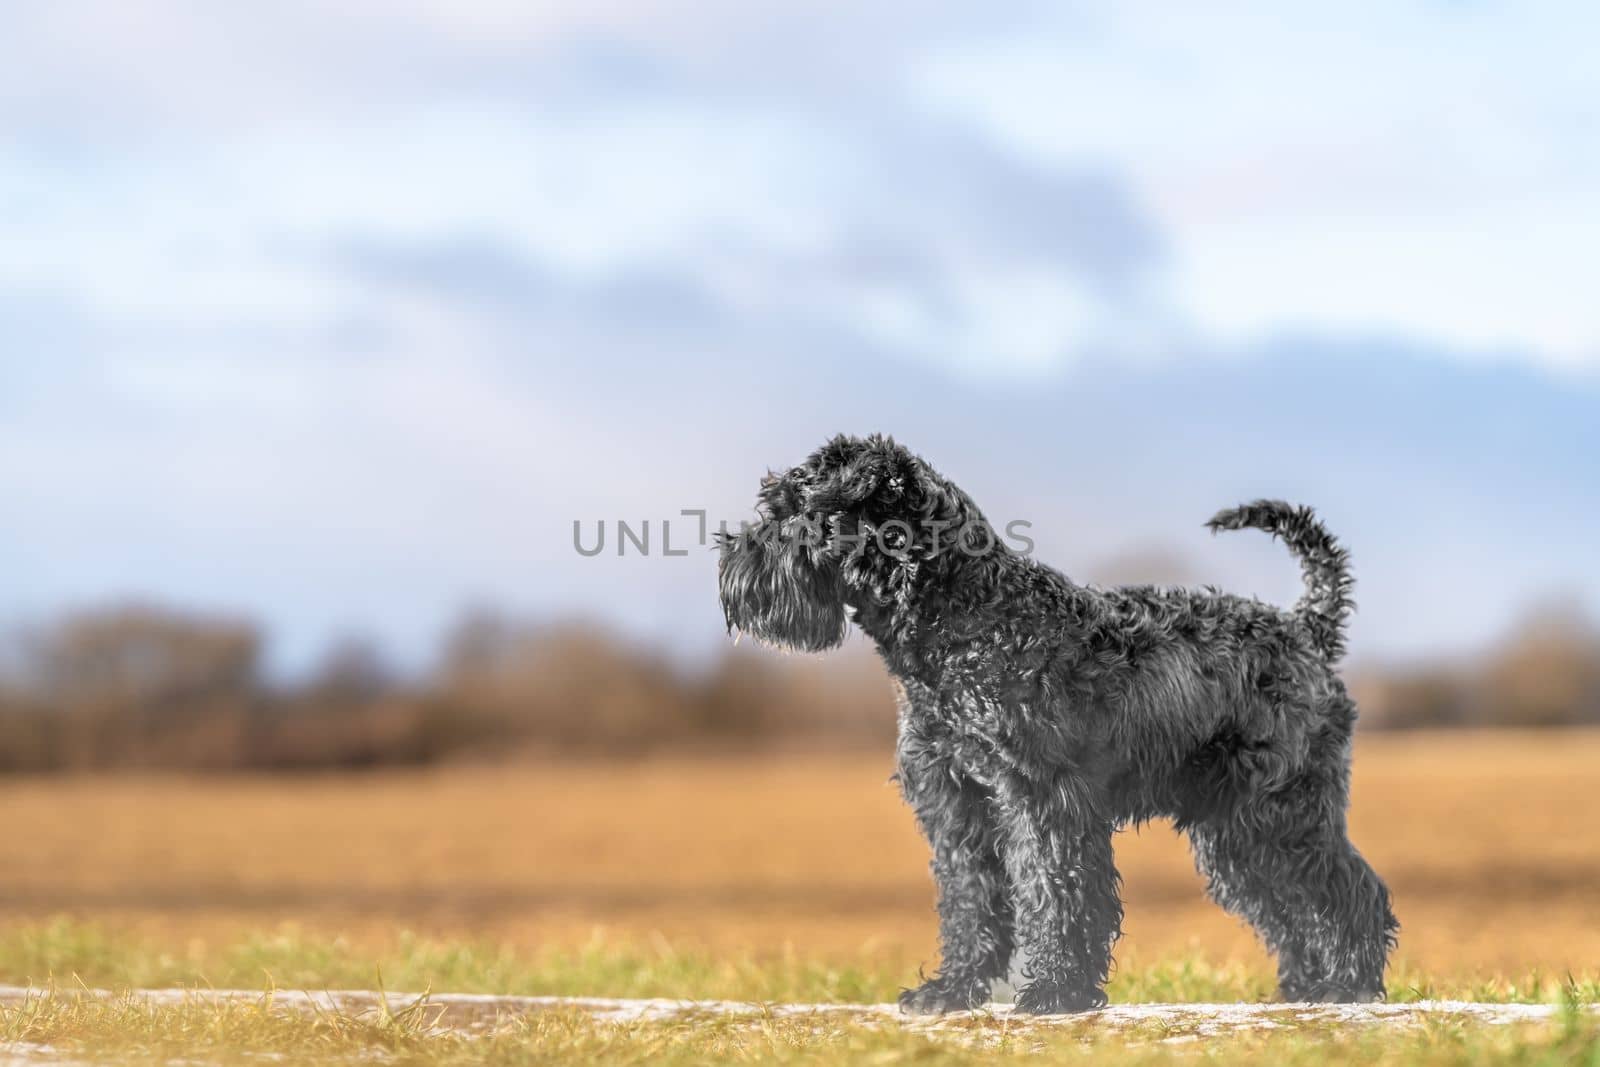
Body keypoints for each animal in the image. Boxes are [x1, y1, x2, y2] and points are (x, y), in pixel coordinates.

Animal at [720, 435, 1395, 1017]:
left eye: (794, 508)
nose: (729, 554)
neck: (966, 620)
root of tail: (1305, 627)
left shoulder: (1042, 796)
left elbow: (1056, 891)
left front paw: (1055, 992)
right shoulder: (956, 802)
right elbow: (970, 901)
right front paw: (952, 990)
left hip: (1281, 811)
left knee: (1347, 892)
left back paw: (1347, 985)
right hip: (1234, 831)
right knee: (1286, 907)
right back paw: (1305, 987)